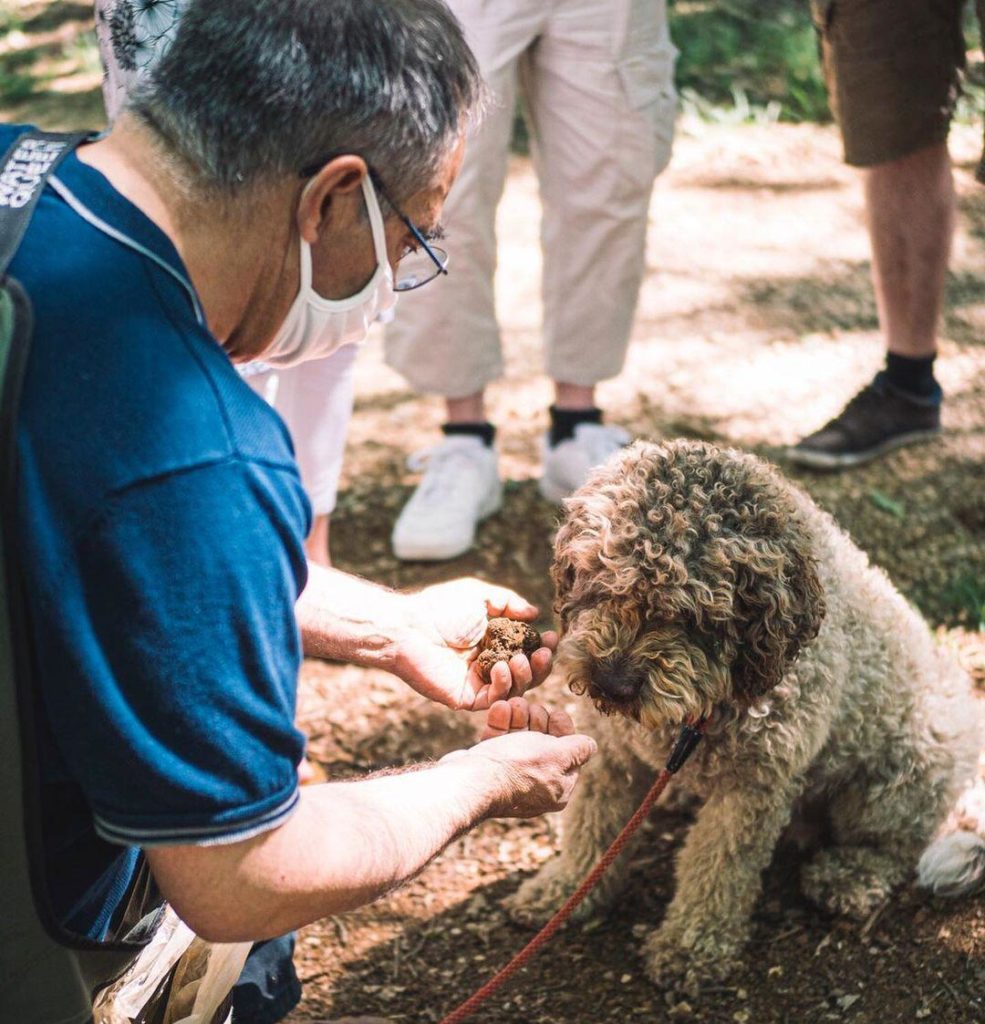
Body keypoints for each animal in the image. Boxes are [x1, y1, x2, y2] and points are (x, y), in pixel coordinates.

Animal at [507, 438, 982, 991]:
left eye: (691, 615)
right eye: (601, 581)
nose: (613, 686)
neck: (707, 703)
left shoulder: (752, 787)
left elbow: (717, 868)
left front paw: (690, 946)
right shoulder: (612, 755)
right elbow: (591, 827)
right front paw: (561, 890)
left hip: (900, 778)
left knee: (896, 846)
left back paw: (848, 875)